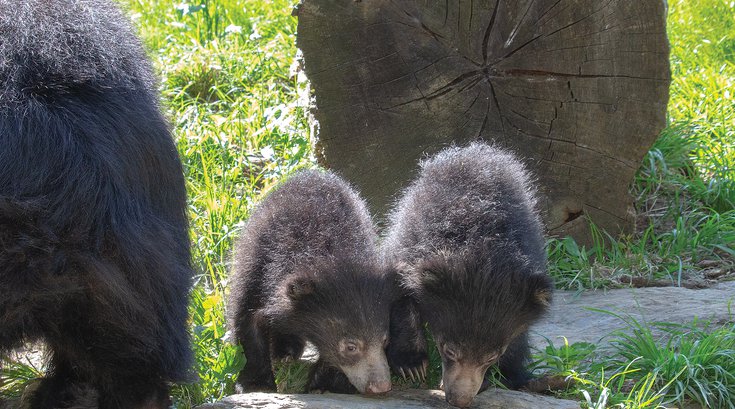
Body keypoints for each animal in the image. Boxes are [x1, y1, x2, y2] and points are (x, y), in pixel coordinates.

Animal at [228, 169, 393, 395]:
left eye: (385, 340)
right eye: (351, 346)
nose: (381, 387)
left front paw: (323, 384)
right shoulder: (258, 263)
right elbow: (248, 317)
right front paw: (255, 384)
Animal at [382, 142, 553, 408]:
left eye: (491, 357)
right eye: (449, 350)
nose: (459, 399)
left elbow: (517, 334)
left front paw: (497, 378)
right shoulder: (410, 239)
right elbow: (400, 292)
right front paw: (412, 365)